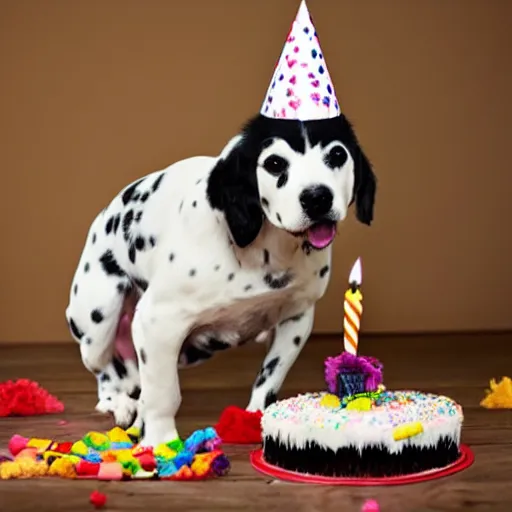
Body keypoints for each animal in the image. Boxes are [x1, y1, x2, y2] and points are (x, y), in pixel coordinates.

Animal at [65, 113, 376, 448]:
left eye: (337, 154)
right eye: (275, 163)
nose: (317, 198)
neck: (263, 249)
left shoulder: (296, 319)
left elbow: (269, 380)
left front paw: (255, 417)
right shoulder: (157, 322)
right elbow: (163, 394)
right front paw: (160, 441)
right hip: (98, 324)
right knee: (106, 371)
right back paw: (118, 401)